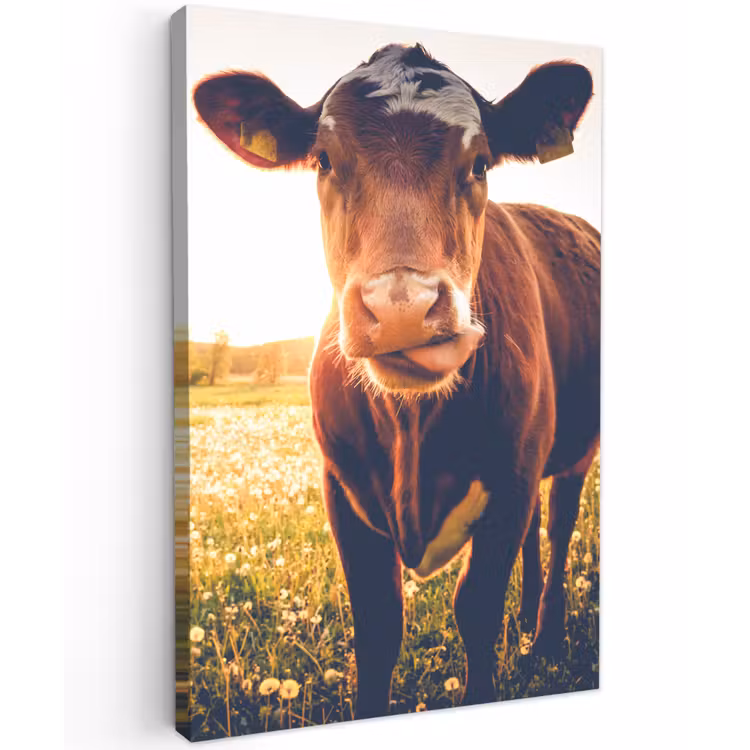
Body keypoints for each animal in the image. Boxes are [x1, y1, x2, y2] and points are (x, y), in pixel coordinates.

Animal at [193, 42, 600, 719]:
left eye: (480, 162)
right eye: (324, 159)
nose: (403, 307)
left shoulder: (511, 479)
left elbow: (476, 610)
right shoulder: (341, 487)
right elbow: (380, 626)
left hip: (574, 449)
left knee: (560, 524)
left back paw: (543, 640)